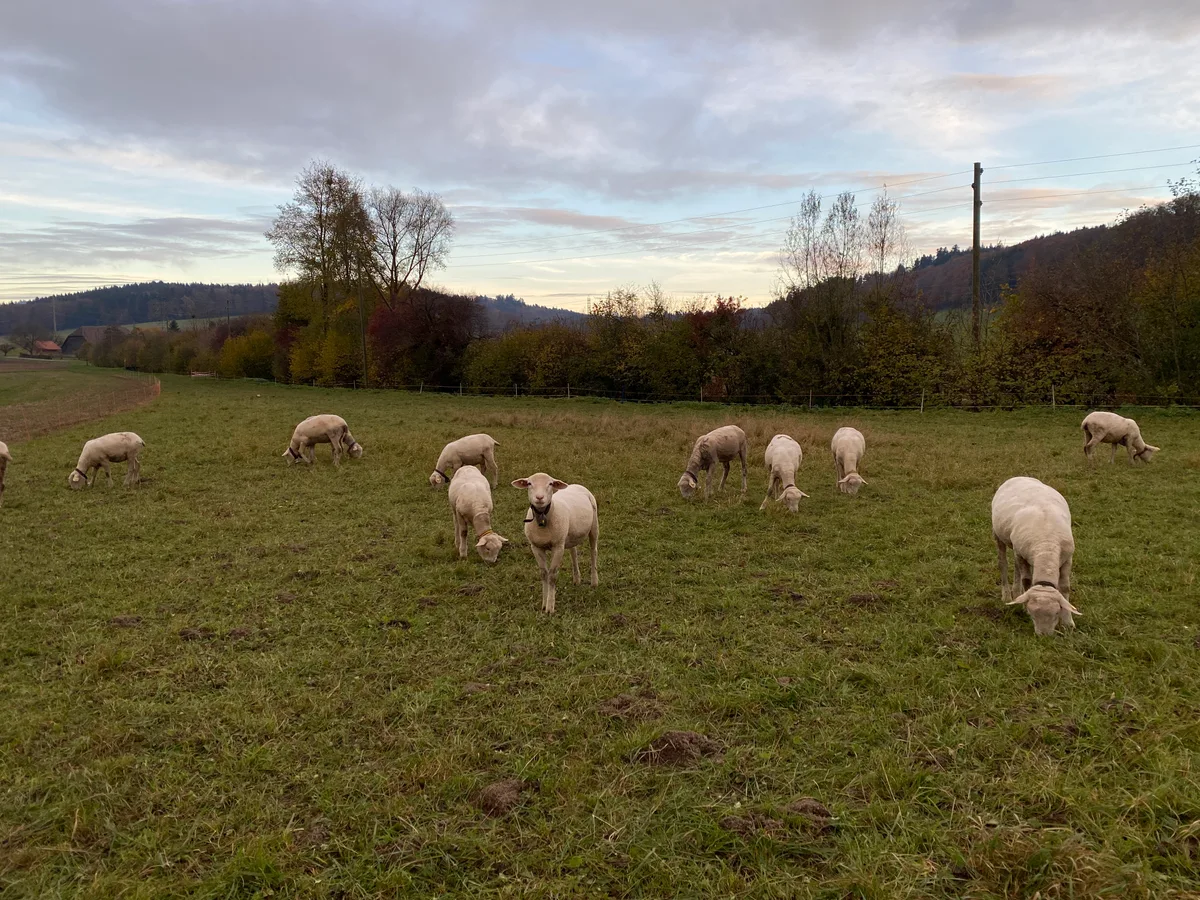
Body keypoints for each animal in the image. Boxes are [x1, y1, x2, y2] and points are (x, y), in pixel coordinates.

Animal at [511, 473, 599, 614]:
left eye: (550, 484)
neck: (543, 518)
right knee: (573, 553)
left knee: (593, 552)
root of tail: (577, 485)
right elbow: (544, 574)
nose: (539, 497)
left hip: (594, 526)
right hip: (570, 535)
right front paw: (544, 604)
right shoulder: (536, 547)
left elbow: (552, 575)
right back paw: (576, 579)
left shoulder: (558, 547)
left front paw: (550, 607)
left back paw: (594, 581)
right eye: (529, 483)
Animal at [991, 476, 1080, 636]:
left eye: (1056, 613)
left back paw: (1016, 592)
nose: (1044, 636)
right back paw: (1007, 595)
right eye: (1033, 616)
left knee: (1016, 568)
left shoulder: (1067, 558)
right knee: (1003, 564)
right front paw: (1024, 607)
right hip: (998, 535)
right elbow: (1027, 580)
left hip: (1017, 546)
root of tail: (1018, 476)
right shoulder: (1022, 555)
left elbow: (1065, 587)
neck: (1047, 545)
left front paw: (1068, 622)